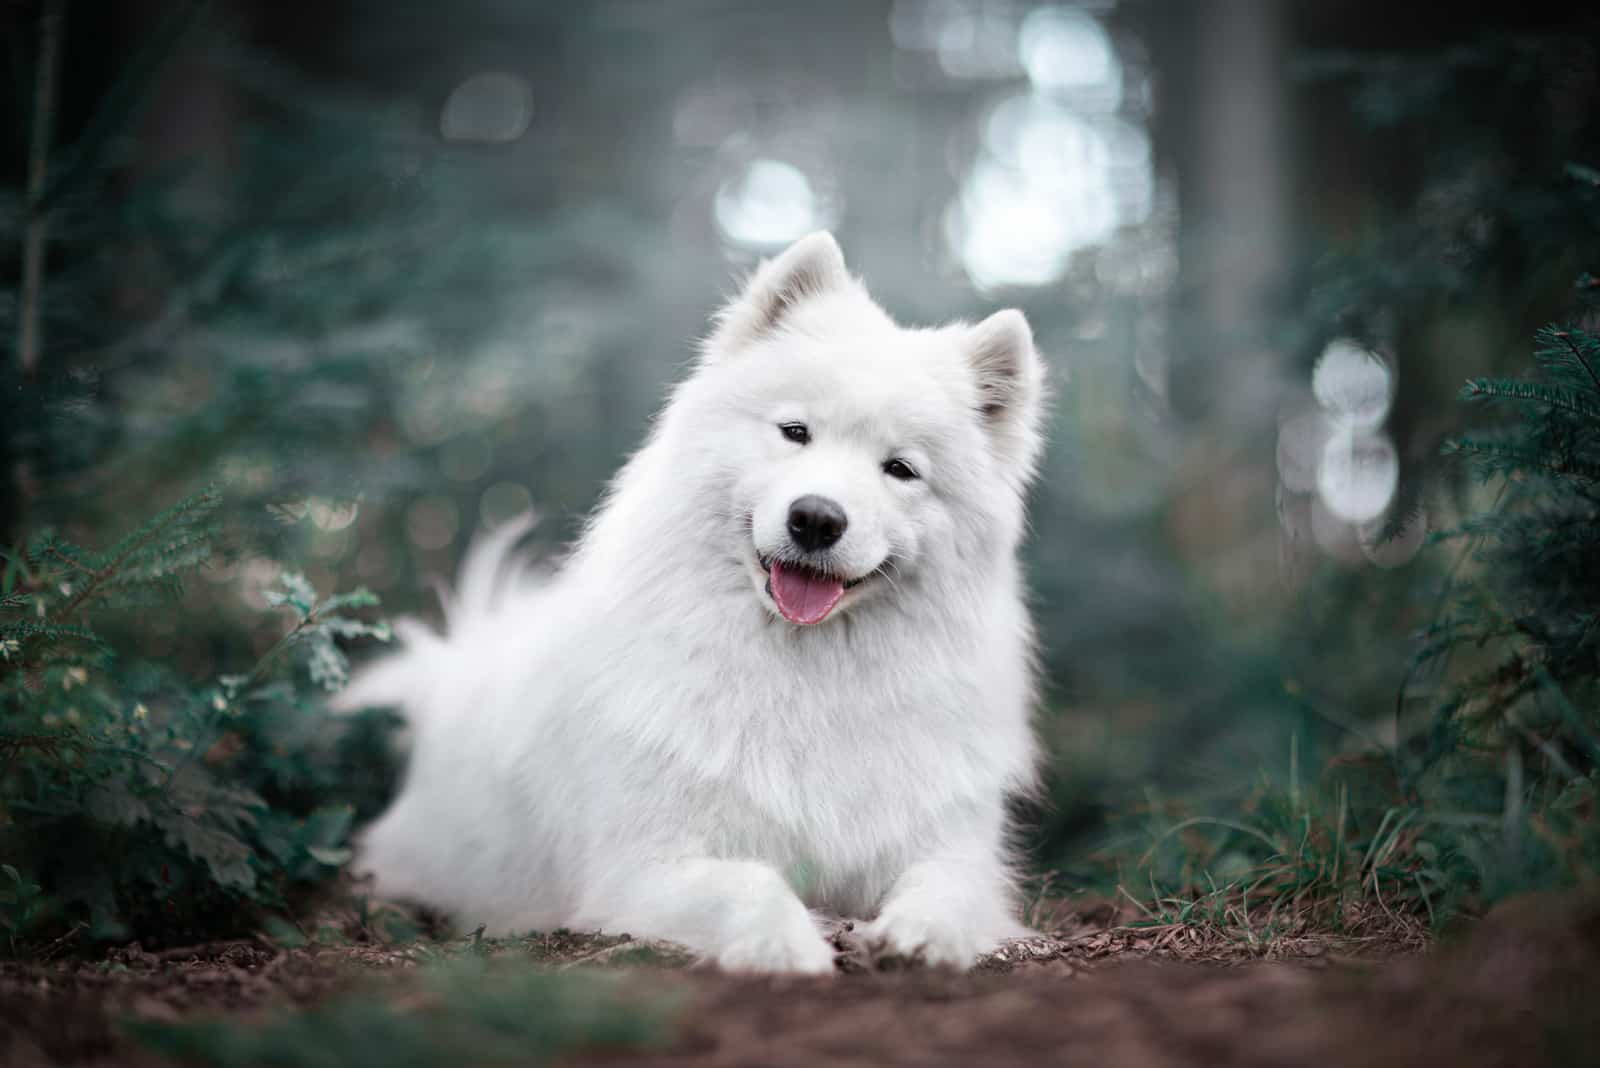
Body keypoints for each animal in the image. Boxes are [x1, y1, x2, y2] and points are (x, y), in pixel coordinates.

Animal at [340, 233, 1049, 978]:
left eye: (901, 470)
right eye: (795, 431)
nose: (817, 518)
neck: (807, 675)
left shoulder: (949, 848)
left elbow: (947, 888)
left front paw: (923, 934)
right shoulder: (641, 868)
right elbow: (751, 883)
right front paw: (787, 945)